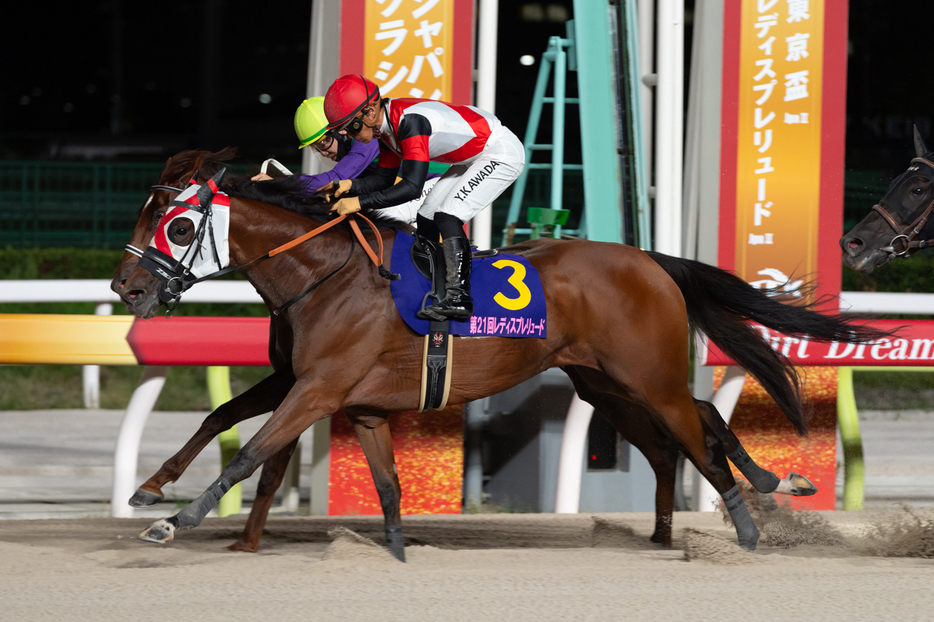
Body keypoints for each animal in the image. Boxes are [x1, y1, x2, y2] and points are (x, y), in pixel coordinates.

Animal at [115, 149, 884, 560]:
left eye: (176, 224)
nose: (127, 286)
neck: (323, 274)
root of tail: (652, 260)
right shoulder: (309, 380)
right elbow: (229, 423)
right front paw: (150, 486)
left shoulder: (319, 385)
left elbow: (250, 451)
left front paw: (172, 519)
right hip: (607, 381)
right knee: (698, 417)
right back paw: (756, 488)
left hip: (645, 377)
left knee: (695, 433)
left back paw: (749, 521)